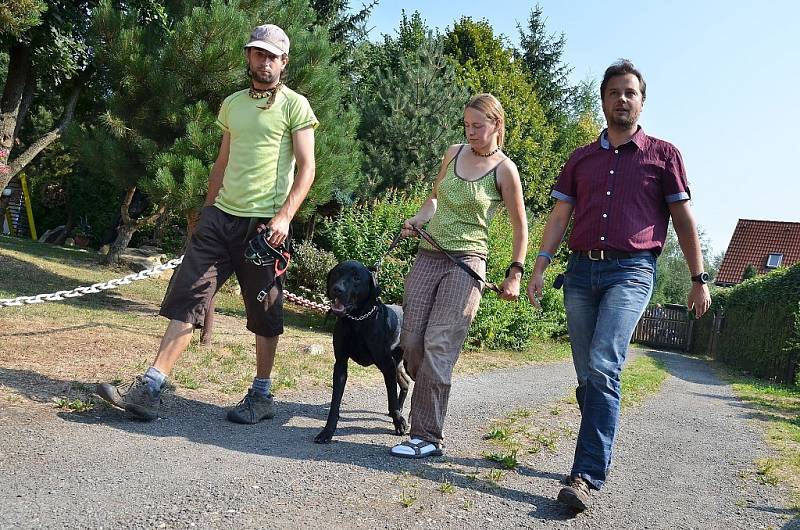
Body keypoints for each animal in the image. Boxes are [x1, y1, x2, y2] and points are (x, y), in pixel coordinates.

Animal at [314, 260, 412, 442]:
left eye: (356, 277)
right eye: (337, 273)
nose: (337, 289)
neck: (357, 320)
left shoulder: (387, 365)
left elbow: (391, 398)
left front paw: (399, 423)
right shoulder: (340, 364)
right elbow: (335, 403)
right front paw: (327, 431)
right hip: (397, 364)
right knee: (405, 383)